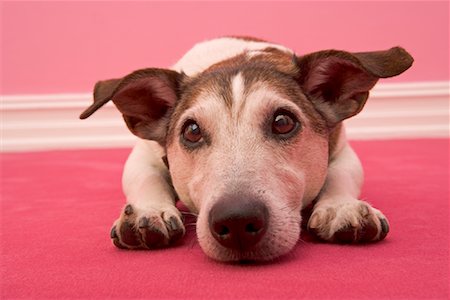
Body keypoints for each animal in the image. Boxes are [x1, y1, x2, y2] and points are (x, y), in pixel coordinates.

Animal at [80, 37, 412, 262]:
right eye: (192, 131)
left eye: (282, 122)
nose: (236, 221)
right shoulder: (144, 154)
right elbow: (145, 177)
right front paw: (149, 211)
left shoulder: (342, 149)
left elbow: (341, 174)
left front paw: (341, 207)